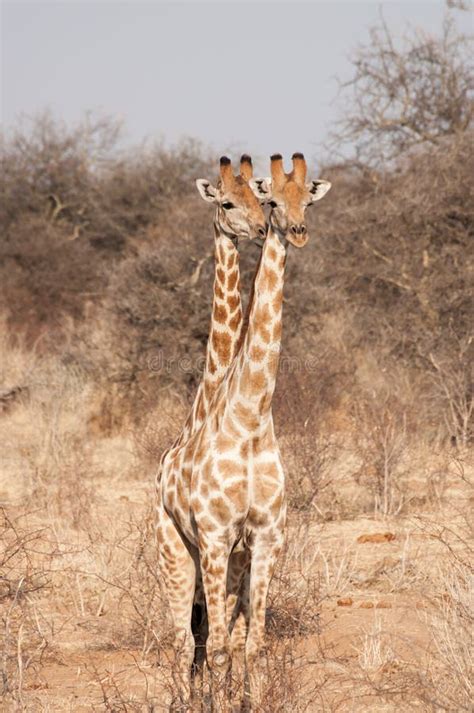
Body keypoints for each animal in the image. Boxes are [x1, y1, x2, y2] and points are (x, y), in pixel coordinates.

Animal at [155, 152, 330, 708]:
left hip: (226, 560)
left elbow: (251, 643)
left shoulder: (265, 538)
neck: (250, 418)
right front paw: (217, 702)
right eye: (268, 199)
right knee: (181, 637)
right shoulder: (214, 537)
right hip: (174, 550)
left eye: (307, 199)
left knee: (210, 634)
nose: (294, 231)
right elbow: (215, 647)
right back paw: (184, 701)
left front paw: (247, 701)